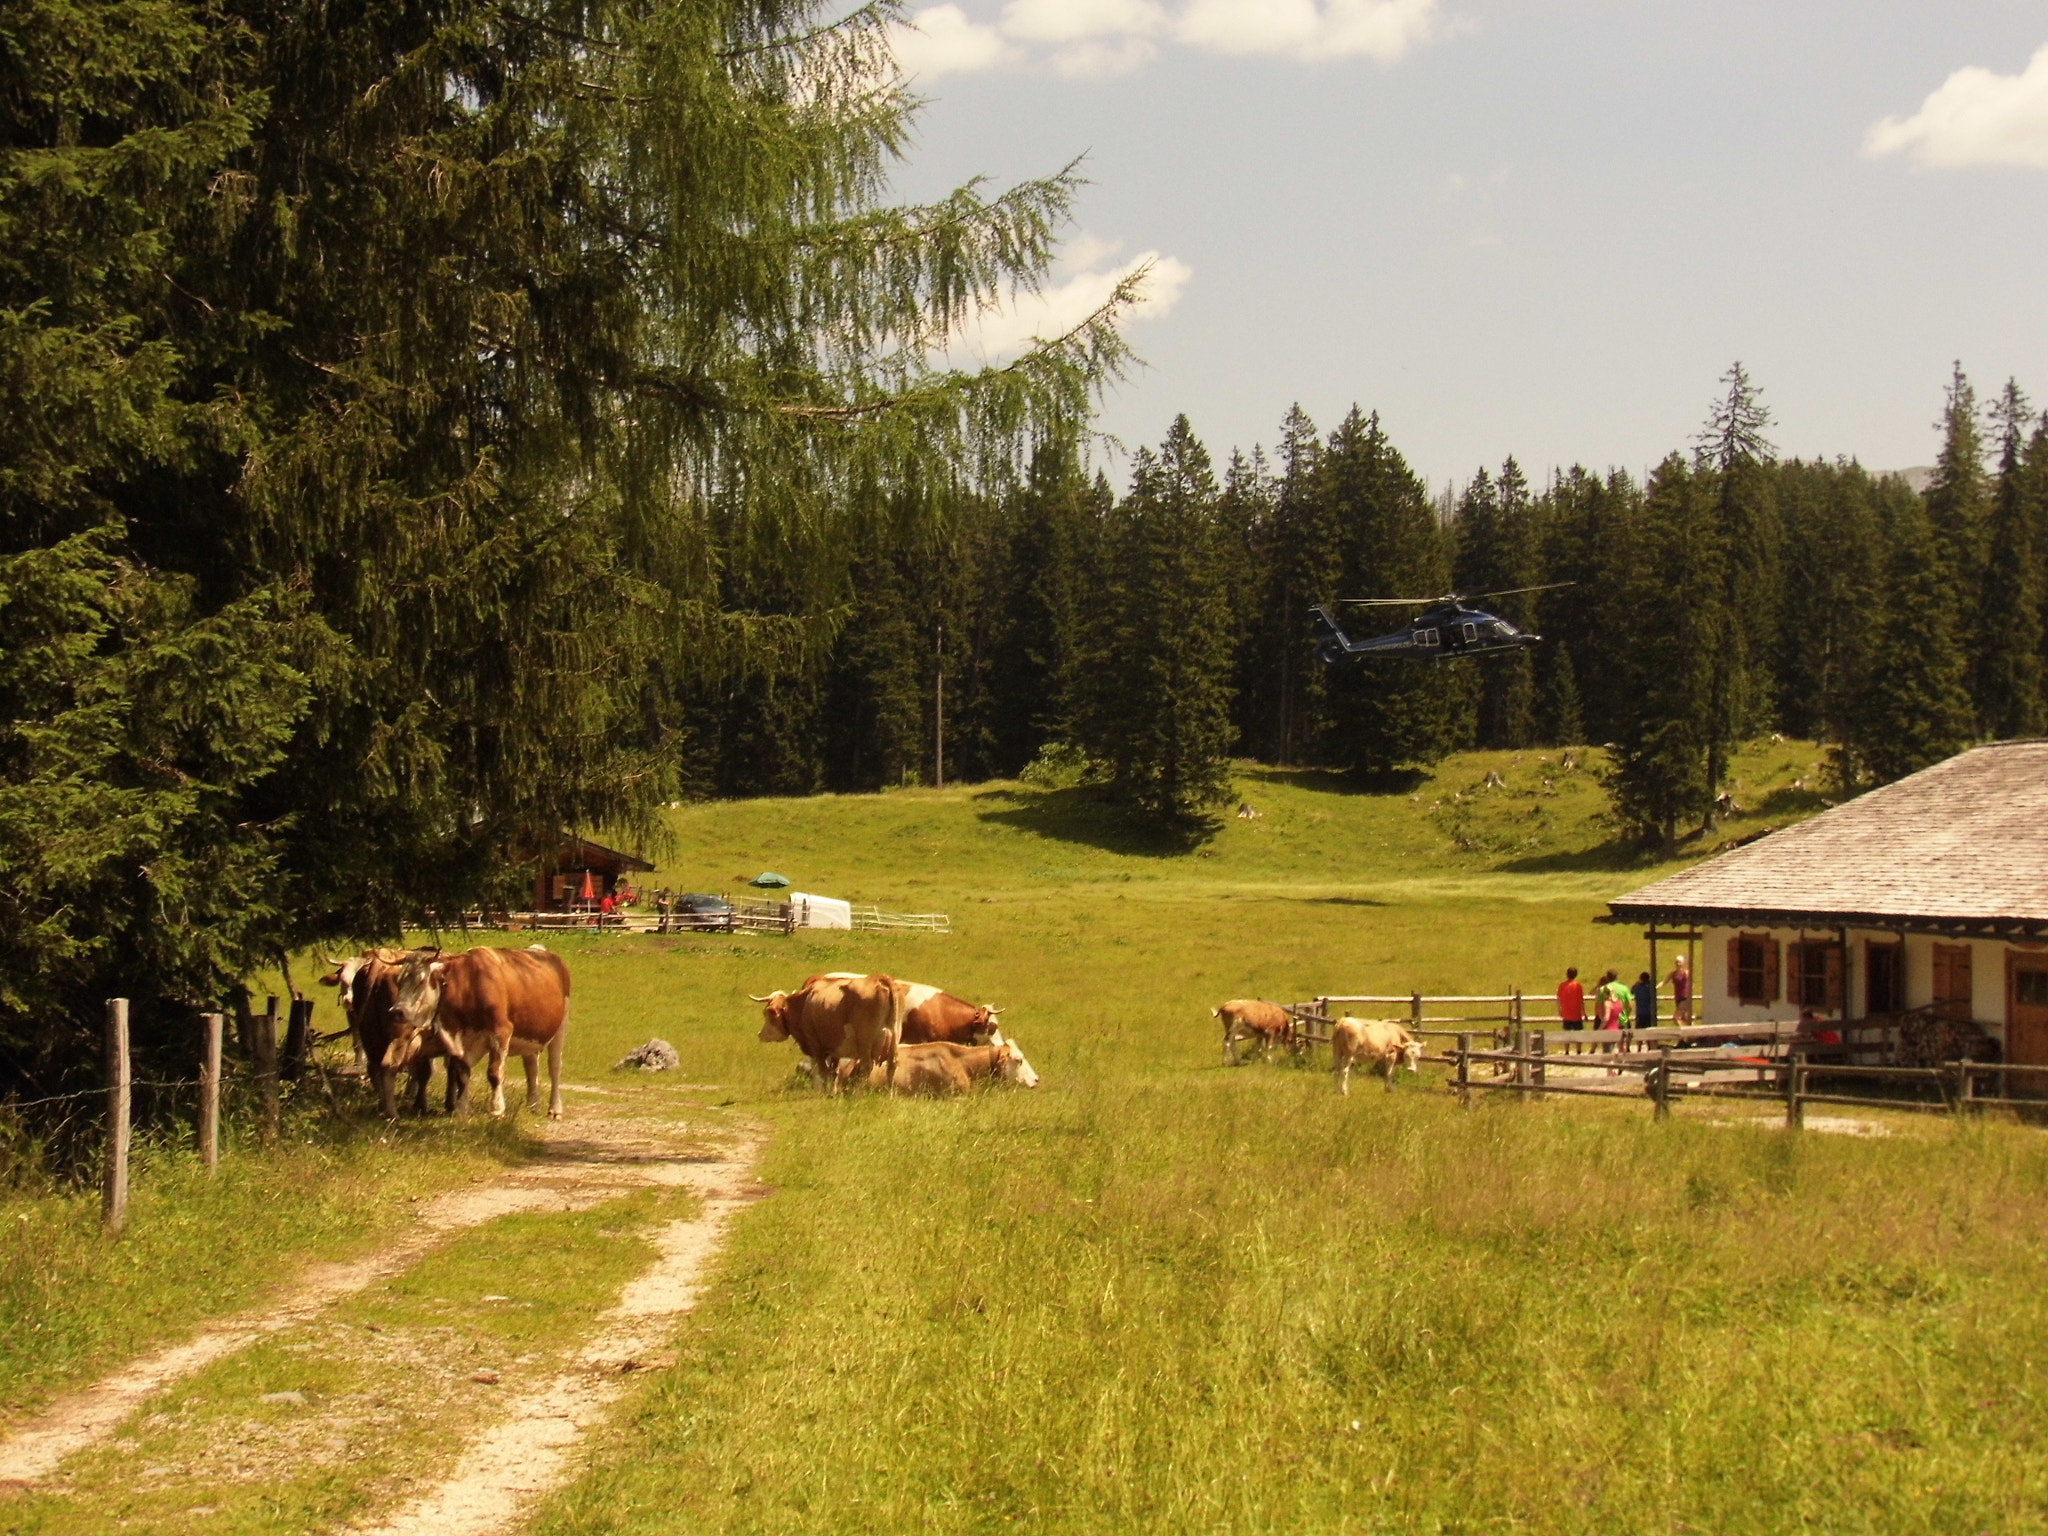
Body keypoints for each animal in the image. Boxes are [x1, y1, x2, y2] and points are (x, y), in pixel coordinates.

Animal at [385, 950, 573, 1122]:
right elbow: (462, 1073)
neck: (469, 985)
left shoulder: (501, 1032)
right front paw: (461, 1109)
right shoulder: (463, 1039)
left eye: (421, 980)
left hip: (561, 1026)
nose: (396, 1011)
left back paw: (555, 1109)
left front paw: (497, 1110)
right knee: (531, 1067)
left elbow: (494, 1073)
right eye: (398, 981)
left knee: (555, 1068)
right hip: (531, 1035)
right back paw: (533, 1105)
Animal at [757, 974, 901, 1097]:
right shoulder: (834, 1049)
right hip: (894, 1038)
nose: (760, 1034)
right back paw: (889, 1094)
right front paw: (833, 1092)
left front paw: (824, 1093)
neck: (803, 1004)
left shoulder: (815, 1045)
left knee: (866, 1067)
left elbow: (823, 1071)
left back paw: (857, 1094)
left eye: (766, 1013)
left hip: (864, 1042)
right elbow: (834, 1071)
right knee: (891, 1065)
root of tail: (878, 978)